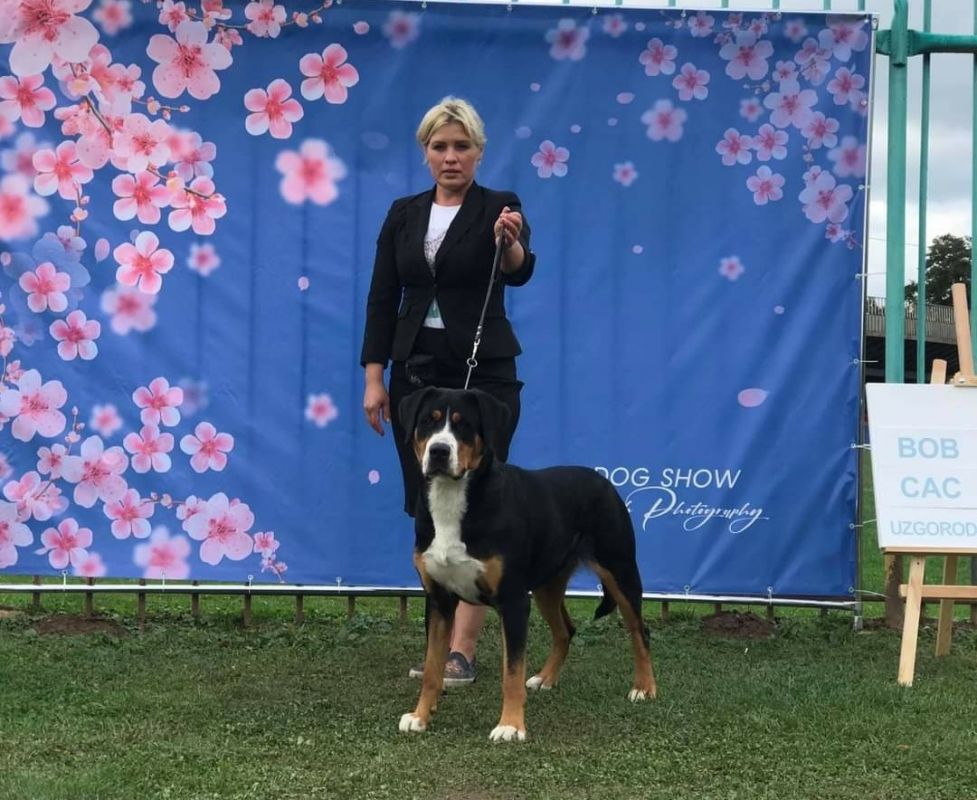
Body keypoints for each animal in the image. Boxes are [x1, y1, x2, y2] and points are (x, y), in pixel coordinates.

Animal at [397, 386, 656, 742]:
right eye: (428, 421)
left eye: (464, 425)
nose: (439, 451)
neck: (454, 500)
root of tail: (602, 480)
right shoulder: (439, 600)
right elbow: (432, 668)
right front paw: (420, 716)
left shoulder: (513, 600)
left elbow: (511, 672)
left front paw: (510, 725)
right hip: (547, 586)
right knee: (565, 631)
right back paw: (545, 679)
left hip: (620, 570)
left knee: (639, 631)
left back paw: (644, 688)